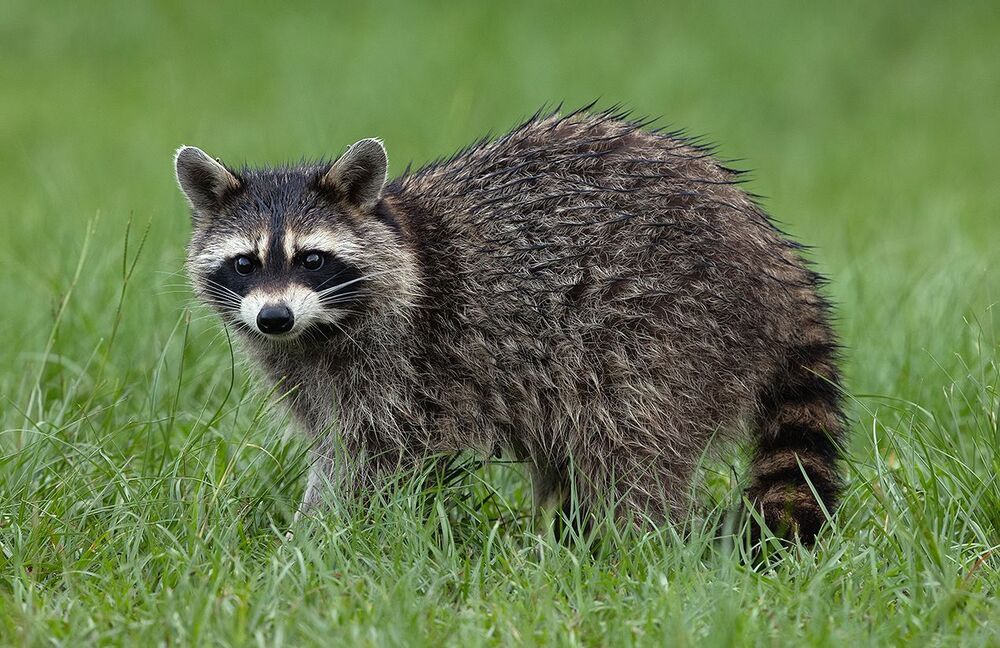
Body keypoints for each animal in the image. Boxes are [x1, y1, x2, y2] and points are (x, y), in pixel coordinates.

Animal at [176, 108, 846, 542]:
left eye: (312, 259)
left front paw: (316, 538)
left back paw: (635, 545)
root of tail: (774, 256)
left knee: (631, 446)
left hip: (670, 329)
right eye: (245, 263)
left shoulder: (403, 362)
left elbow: (369, 456)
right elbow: (333, 442)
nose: (274, 318)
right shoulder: (307, 368)